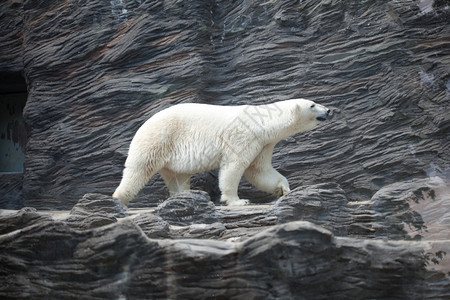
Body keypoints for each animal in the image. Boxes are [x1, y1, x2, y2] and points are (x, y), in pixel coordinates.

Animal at [112, 99, 330, 205]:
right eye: (312, 104)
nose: (328, 110)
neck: (262, 121)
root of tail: (143, 125)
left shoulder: (263, 143)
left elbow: (259, 170)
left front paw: (283, 188)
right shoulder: (243, 136)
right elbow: (234, 167)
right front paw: (238, 200)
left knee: (177, 176)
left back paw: (182, 196)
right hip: (158, 140)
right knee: (138, 170)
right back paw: (119, 199)